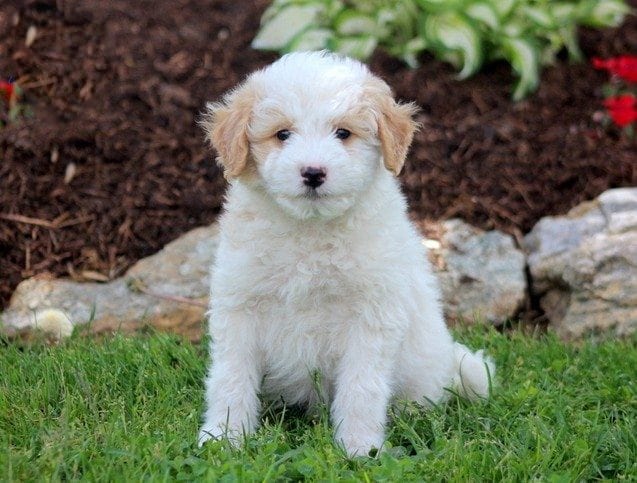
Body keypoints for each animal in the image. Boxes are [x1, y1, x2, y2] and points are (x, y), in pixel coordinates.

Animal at [198, 53, 492, 458]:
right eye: (282, 134)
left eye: (343, 133)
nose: (313, 173)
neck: (310, 232)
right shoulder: (240, 304)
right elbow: (230, 376)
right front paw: (224, 437)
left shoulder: (371, 317)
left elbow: (361, 388)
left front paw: (359, 448)